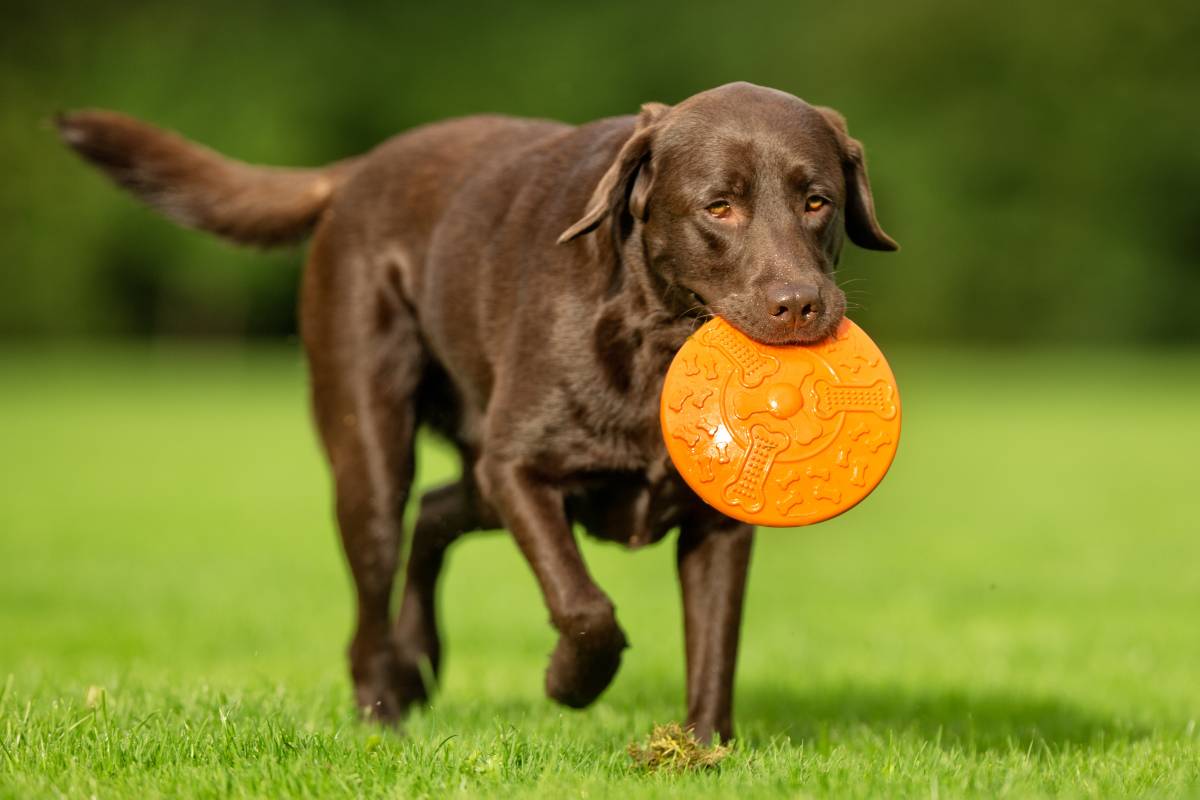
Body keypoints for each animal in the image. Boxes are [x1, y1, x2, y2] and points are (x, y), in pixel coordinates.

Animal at [58, 82, 902, 743]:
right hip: (374, 450)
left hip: (471, 474)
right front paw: (569, 682)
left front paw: (701, 750)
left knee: (435, 514)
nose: (799, 305)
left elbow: (716, 642)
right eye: (718, 207)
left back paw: (419, 661)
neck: (656, 341)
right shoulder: (519, 468)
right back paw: (382, 711)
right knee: (377, 581)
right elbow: (585, 606)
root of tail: (359, 169)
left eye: (817, 201)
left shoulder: (718, 523)